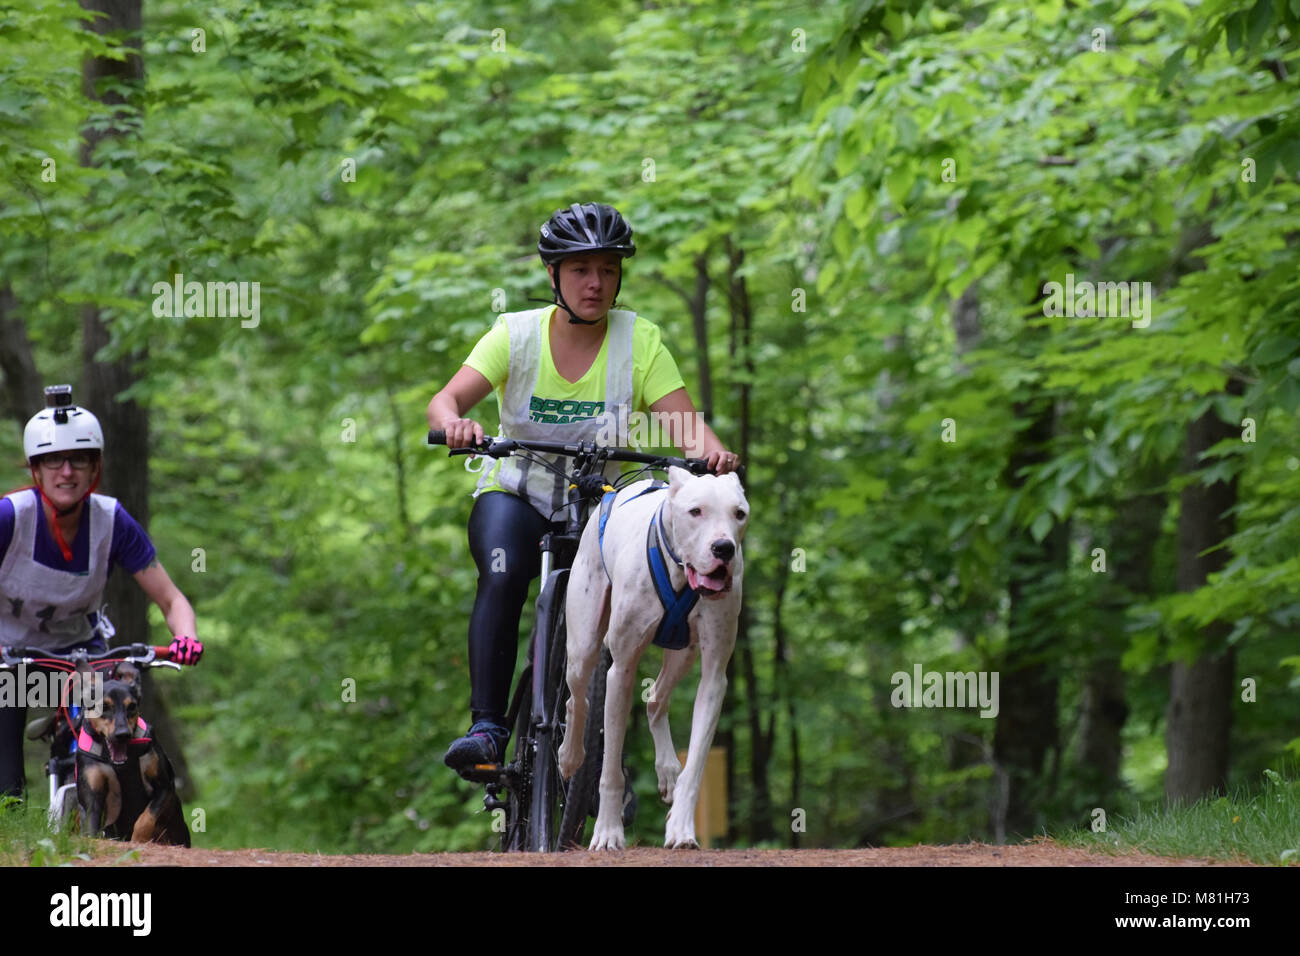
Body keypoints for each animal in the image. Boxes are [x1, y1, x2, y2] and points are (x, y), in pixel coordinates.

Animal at [76, 665, 189, 842]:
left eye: (132, 706)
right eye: (104, 707)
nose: (123, 734)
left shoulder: (164, 786)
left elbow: (146, 818)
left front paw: (139, 839)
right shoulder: (91, 794)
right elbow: (91, 825)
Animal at [559, 468, 754, 848]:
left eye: (739, 514)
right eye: (696, 511)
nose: (724, 548)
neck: (678, 570)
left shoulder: (714, 677)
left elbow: (697, 763)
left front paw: (681, 826)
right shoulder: (621, 671)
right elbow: (610, 770)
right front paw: (607, 831)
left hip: (683, 654)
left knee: (655, 699)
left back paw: (667, 769)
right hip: (582, 646)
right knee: (577, 700)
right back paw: (570, 756)